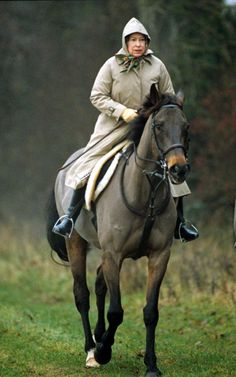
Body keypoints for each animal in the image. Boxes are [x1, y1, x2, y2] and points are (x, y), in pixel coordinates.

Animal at [46, 85, 192, 376]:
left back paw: (100, 337)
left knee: (99, 284)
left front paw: (151, 365)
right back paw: (92, 349)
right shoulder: (114, 254)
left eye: (186, 127)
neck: (146, 196)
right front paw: (103, 352)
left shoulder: (159, 256)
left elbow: (151, 312)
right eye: (158, 125)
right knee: (82, 294)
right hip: (76, 242)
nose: (178, 168)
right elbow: (116, 311)